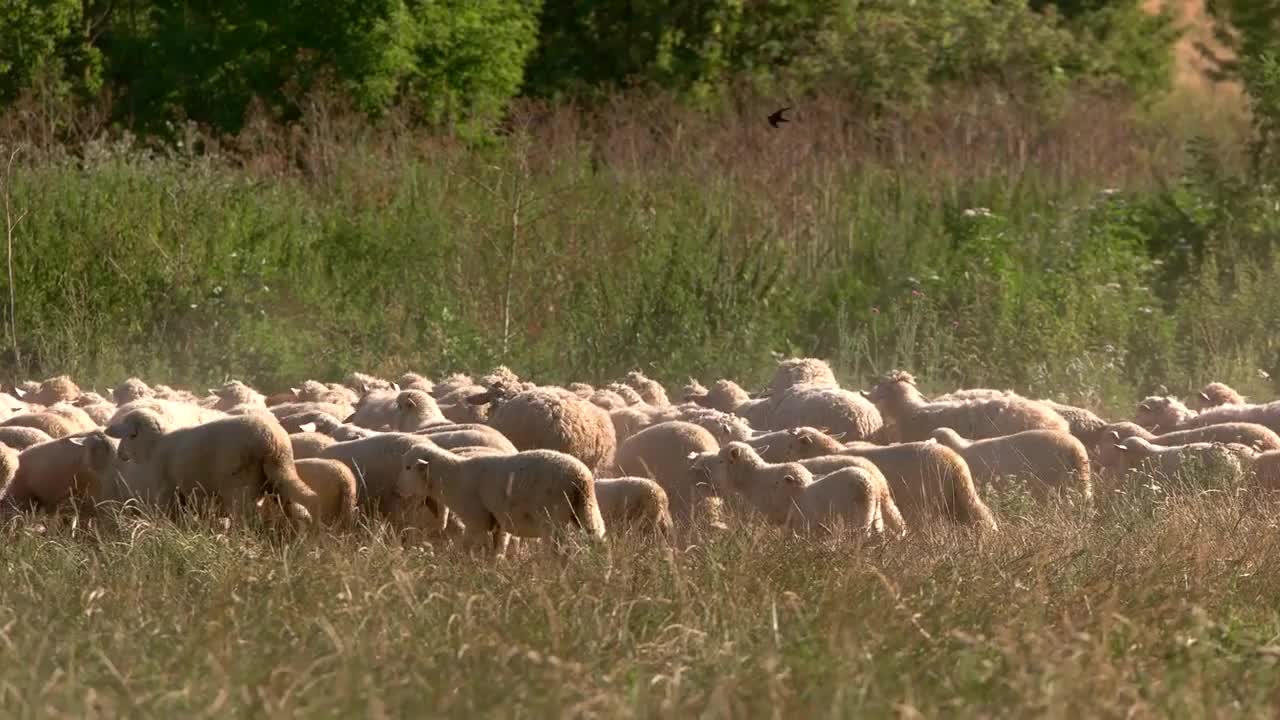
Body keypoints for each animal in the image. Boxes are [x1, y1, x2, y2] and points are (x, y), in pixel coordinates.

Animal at [104, 407, 320, 517]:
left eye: (129, 435)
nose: (120, 454)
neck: (155, 444)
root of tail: (272, 441)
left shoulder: (167, 490)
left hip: (239, 487)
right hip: (277, 477)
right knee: (295, 509)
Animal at [394, 443, 604, 556]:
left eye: (408, 467)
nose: (399, 489)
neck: (454, 476)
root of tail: (581, 476)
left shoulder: (476, 520)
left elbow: (468, 547)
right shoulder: (498, 523)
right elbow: (497, 553)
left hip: (551, 518)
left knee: (557, 552)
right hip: (583, 510)